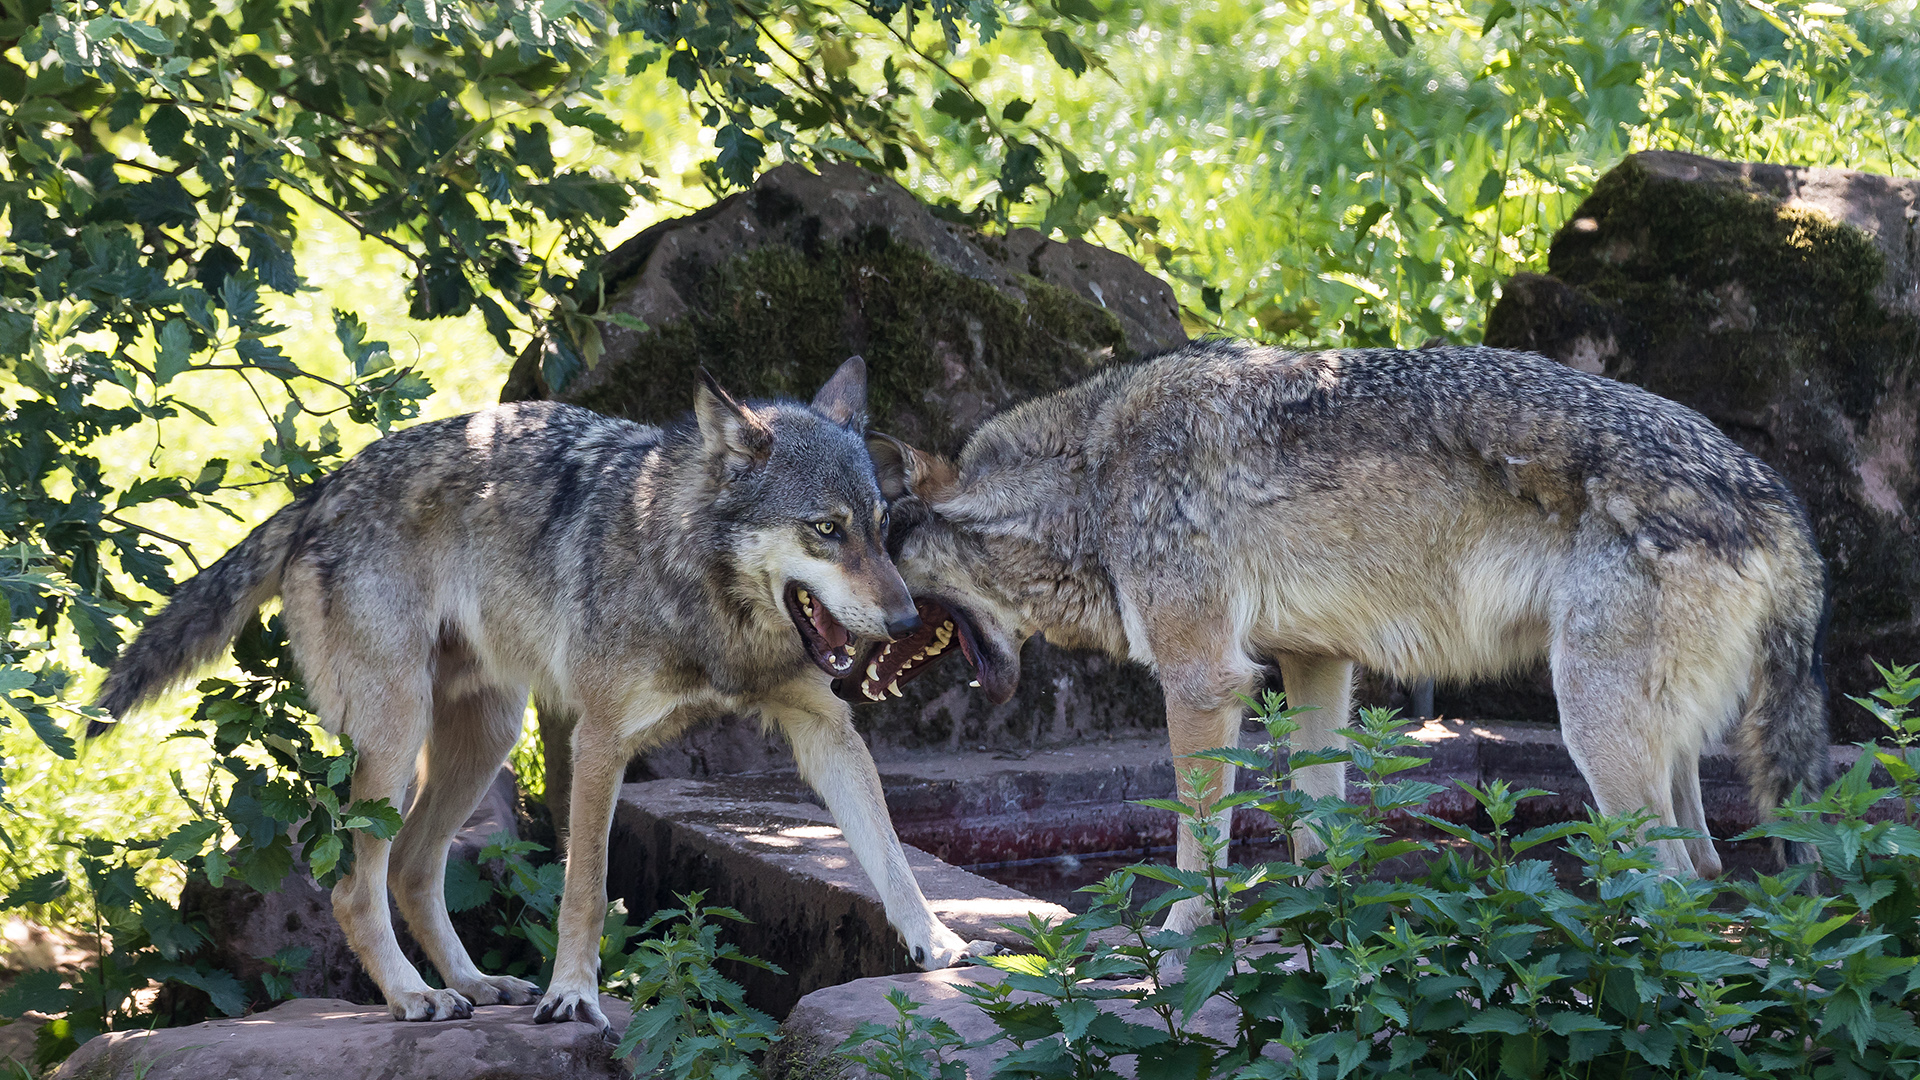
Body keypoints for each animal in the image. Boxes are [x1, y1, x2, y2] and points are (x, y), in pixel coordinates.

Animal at [95, 355, 983, 1022]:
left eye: (880, 527)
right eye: (826, 530)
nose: (907, 621)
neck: (704, 597)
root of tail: (321, 490)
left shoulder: (826, 730)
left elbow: (890, 854)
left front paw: (937, 944)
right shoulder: (597, 741)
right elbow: (585, 891)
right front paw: (574, 997)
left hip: (484, 739)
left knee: (412, 869)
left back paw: (475, 985)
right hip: (396, 738)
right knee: (355, 887)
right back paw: (414, 998)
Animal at [856, 338, 1827, 926]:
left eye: (882, 540)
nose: (854, 633)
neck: (1090, 478)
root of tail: (1778, 501)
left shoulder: (1203, 678)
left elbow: (1199, 845)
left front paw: (1181, 937)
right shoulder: (1315, 665)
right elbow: (1313, 829)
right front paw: (1319, 929)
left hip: (1593, 728)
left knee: (1670, 885)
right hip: (1664, 756)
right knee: (1706, 877)